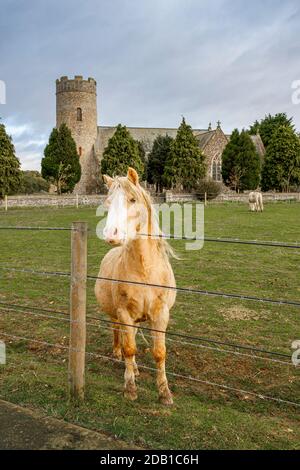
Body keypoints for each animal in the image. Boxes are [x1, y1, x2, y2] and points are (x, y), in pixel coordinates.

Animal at [95, 168, 176, 404]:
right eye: (108, 201)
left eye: (132, 199)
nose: (111, 234)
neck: (144, 269)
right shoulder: (124, 313)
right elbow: (130, 348)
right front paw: (130, 388)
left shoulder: (160, 314)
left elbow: (159, 352)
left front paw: (164, 392)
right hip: (117, 315)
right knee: (119, 334)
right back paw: (120, 357)